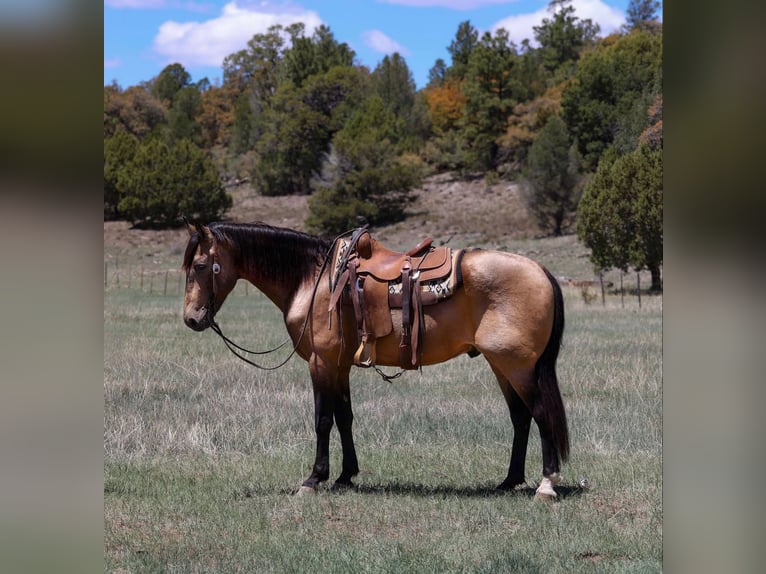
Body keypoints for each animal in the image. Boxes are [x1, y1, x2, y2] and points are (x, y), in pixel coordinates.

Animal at [182, 220, 569, 499]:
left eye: (200, 265)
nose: (191, 319)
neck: (312, 280)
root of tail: (541, 270)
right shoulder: (338, 365)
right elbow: (345, 417)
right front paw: (345, 476)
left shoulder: (320, 362)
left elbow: (323, 420)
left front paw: (313, 479)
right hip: (501, 364)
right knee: (520, 418)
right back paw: (509, 480)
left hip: (518, 366)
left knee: (539, 413)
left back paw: (546, 484)